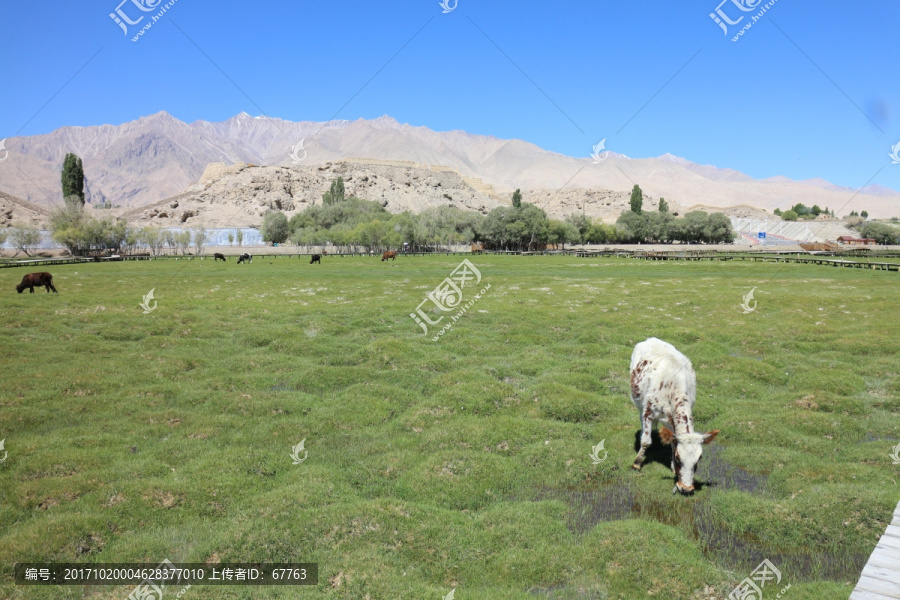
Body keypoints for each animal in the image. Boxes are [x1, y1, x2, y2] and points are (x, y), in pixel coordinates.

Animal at [628, 338, 720, 496]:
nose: (686, 488)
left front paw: (671, 466)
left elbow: (672, 440)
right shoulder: (649, 412)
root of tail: (651, 339)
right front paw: (637, 463)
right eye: (678, 457)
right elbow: (646, 441)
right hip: (639, 402)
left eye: (699, 459)